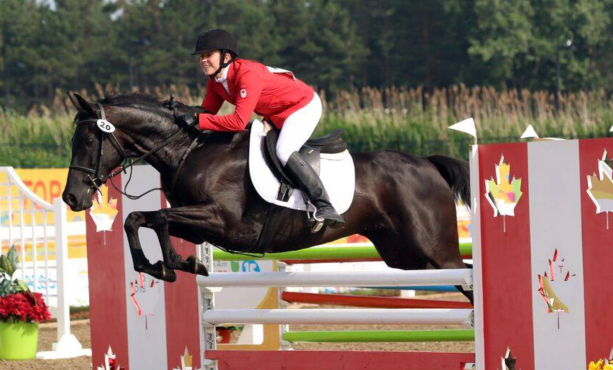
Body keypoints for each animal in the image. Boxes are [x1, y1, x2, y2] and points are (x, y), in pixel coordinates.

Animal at [62, 92, 470, 300]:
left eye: (87, 141)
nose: (71, 199)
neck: (188, 149)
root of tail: (427, 163)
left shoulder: (222, 221)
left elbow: (158, 218)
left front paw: (178, 263)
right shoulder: (197, 224)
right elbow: (138, 219)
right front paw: (163, 266)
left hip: (432, 252)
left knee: (467, 277)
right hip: (404, 255)